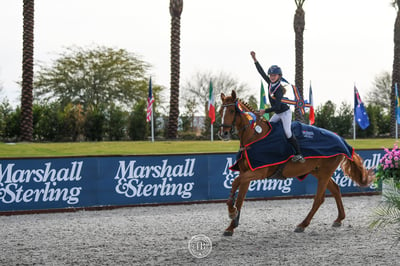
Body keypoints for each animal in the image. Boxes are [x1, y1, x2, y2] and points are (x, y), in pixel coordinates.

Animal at [219, 90, 376, 236]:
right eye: (220, 111)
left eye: (232, 111)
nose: (223, 133)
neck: (255, 136)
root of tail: (342, 140)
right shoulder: (247, 172)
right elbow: (240, 198)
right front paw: (231, 226)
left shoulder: (258, 171)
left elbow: (235, 182)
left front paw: (231, 211)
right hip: (318, 171)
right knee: (335, 189)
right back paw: (338, 219)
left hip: (325, 172)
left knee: (319, 199)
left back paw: (302, 224)